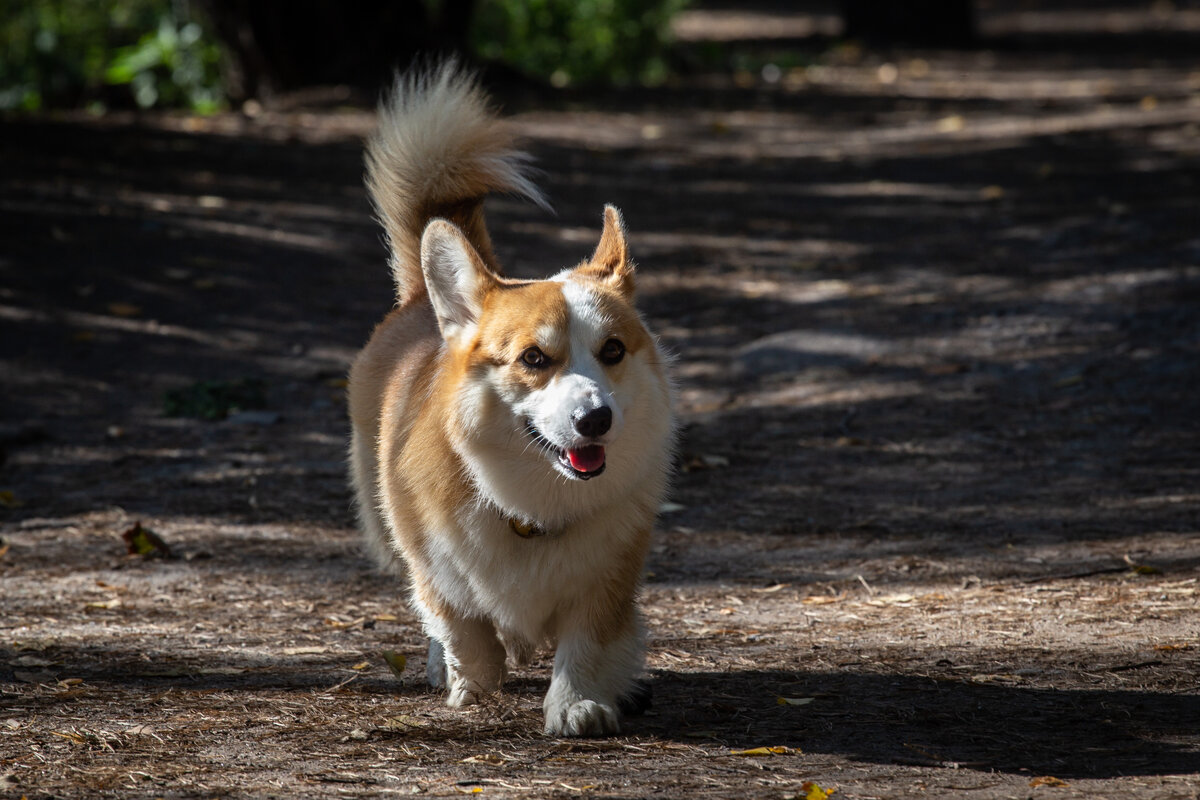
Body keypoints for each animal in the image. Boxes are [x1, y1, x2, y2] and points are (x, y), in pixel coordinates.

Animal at [350, 62, 681, 738]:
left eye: (612, 350)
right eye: (534, 359)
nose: (596, 418)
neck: (532, 502)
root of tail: (422, 302)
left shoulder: (609, 579)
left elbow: (588, 640)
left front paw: (577, 704)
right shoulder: (433, 567)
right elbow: (463, 628)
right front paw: (471, 686)